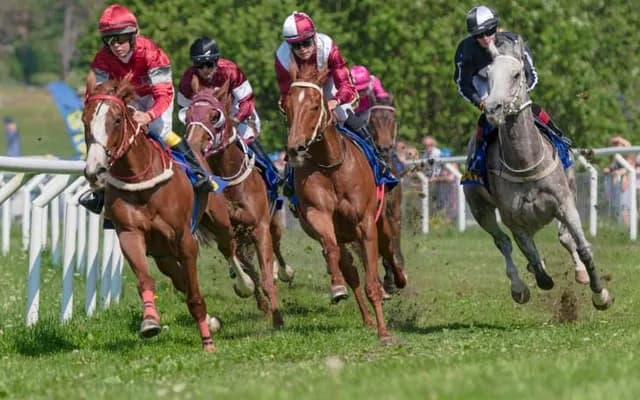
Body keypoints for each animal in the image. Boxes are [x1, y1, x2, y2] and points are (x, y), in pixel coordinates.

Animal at [82, 78, 218, 351]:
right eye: (84, 120)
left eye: (117, 120)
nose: (95, 170)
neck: (140, 180)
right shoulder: (130, 234)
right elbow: (145, 280)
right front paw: (150, 322)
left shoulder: (185, 240)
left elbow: (195, 295)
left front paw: (208, 342)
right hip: (162, 254)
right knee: (179, 279)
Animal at [185, 82, 285, 329]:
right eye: (187, 115)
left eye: (215, 116)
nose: (193, 144)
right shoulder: (228, 231)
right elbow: (250, 273)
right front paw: (262, 303)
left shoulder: (260, 227)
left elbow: (266, 274)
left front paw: (278, 319)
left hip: (274, 222)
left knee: (277, 246)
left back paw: (284, 272)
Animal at [284, 63, 407, 343]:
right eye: (286, 107)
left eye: (315, 105)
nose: (295, 148)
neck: (331, 165)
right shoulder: (318, 215)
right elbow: (333, 252)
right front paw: (337, 287)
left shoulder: (366, 223)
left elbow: (374, 277)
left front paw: (385, 333)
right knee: (350, 268)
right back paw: (365, 315)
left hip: (382, 222)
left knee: (389, 249)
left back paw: (398, 280)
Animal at [463, 35, 613, 310]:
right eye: (487, 76)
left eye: (516, 74)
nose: (493, 108)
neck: (525, 163)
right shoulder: (514, 220)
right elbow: (530, 256)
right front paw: (536, 277)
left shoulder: (565, 204)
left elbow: (583, 247)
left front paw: (600, 294)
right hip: (480, 209)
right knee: (503, 243)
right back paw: (519, 286)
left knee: (564, 238)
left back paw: (580, 273)